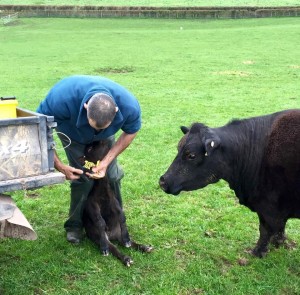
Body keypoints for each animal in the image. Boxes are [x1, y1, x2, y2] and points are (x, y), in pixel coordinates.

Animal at [81, 140, 152, 268]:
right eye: (89, 149)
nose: (101, 140)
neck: (102, 188)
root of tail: (112, 236)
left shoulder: (113, 200)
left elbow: (121, 215)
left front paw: (127, 235)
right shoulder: (91, 204)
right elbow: (100, 221)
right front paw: (104, 247)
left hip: (118, 232)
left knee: (128, 243)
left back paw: (142, 246)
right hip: (96, 236)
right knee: (114, 248)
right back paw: (125, 258)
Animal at [159, 110, 300, 258]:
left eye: (191, 155)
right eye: (178, 148)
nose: (162, 181)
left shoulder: (268, 206)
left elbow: (265, 230)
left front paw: (258, 252)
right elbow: (279, 228)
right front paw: (279, 244)